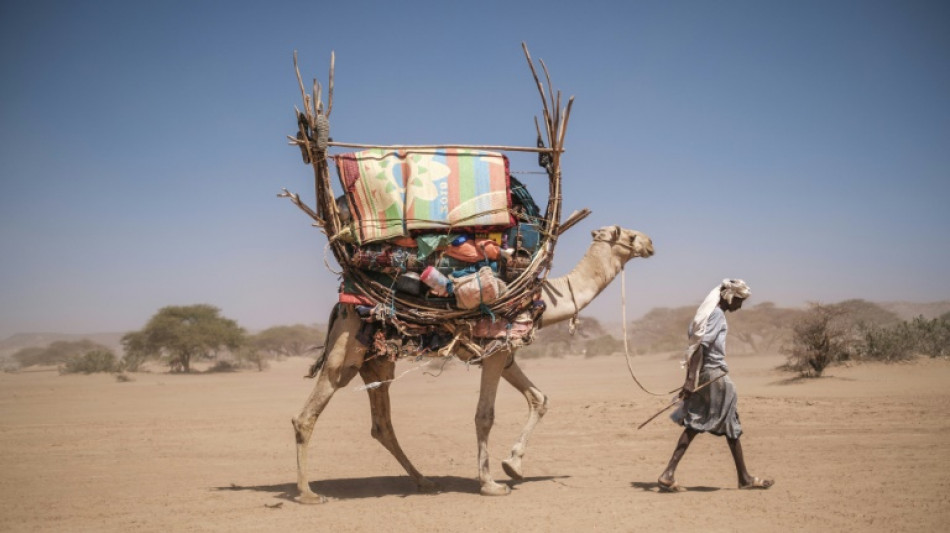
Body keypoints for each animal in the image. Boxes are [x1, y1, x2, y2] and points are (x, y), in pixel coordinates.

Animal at [292, 225, 656, 502]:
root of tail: (341, 306)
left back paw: (424, 481)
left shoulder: (504, 353)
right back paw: (308, 493)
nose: (651, 243)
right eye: (628, 234)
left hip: (378, 363)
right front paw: (491, 483)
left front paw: (513, 465)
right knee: (308, 412)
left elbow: (539, 398)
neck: (542, 299)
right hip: (346, 351)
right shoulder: (495, 354)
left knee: (382, 425)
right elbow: (485, 415)